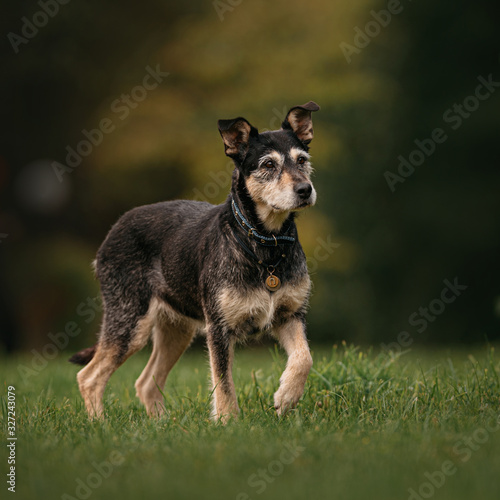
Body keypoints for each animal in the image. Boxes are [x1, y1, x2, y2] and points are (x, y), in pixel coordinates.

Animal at [69, 99, 320, 420]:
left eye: (302, 160)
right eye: (268, 165)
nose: (305, 190)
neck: (265, 245)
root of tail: (113, 231)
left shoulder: (290, 314)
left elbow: (304, 357)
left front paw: (286, 396)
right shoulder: (219, 328)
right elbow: (223, 383)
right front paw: (228, 422)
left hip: (177, 330)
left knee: (145, 383)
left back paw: (159, 425)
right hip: (130, 320)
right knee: (89, 376)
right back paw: (100, 423)